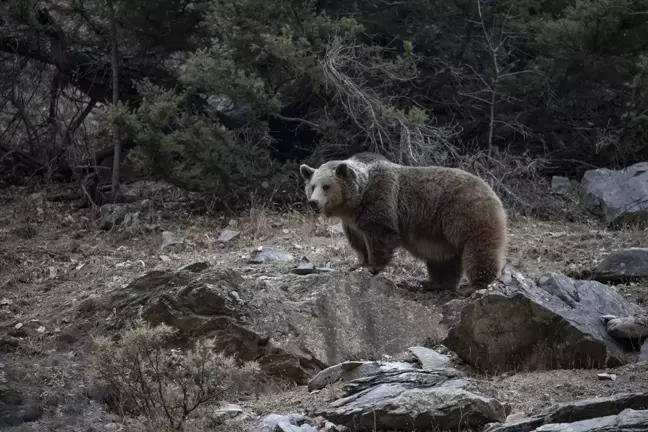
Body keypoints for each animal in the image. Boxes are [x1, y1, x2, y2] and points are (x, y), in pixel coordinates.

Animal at [302, 155, 508, 294]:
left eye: (326, 186)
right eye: (312, 186)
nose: (314, 203)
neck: (355, 204)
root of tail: (491, 189)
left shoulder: (380, 204)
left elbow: (381, 236)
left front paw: (371, 266)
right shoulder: (353, 225)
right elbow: (359, 245)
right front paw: (358, 264)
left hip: (464, 213)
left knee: (477, 247)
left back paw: (474, 285)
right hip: (440, 235)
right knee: (443, 261)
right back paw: (433, 283)